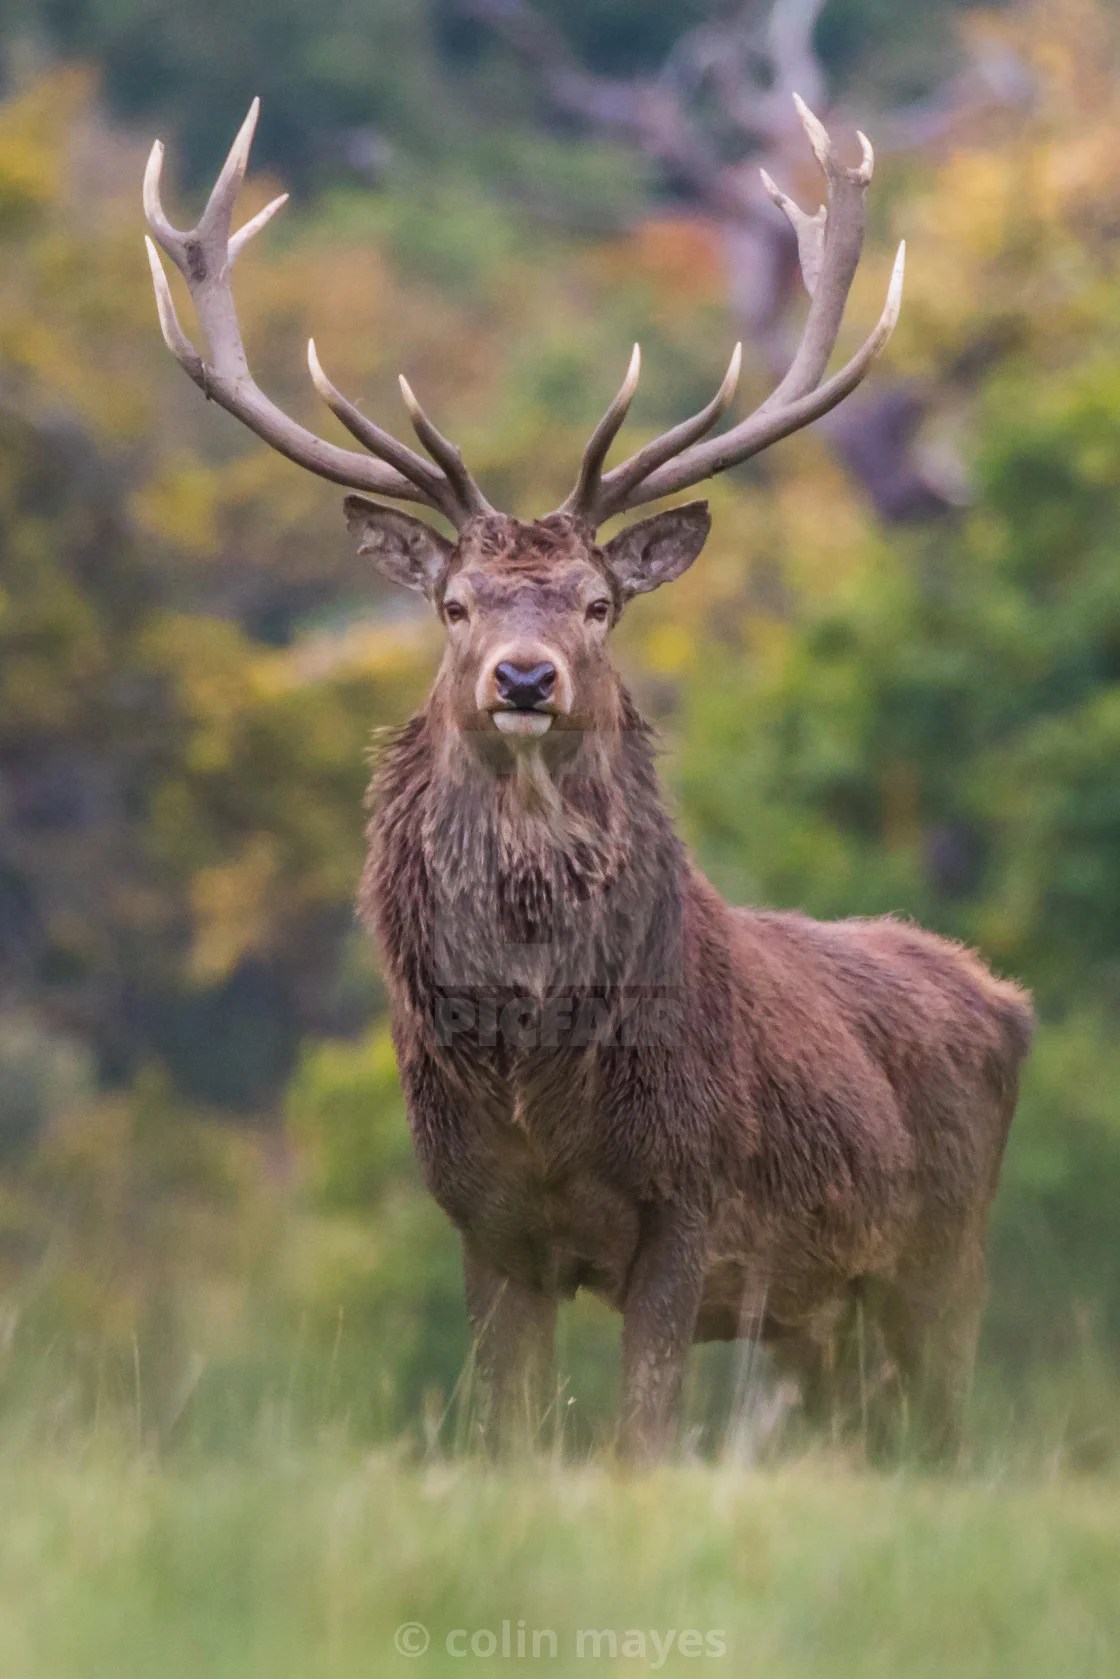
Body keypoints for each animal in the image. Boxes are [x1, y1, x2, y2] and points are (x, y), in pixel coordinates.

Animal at [144, 98, 1034, 1463]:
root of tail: (1009, 1000)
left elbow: (640, 1442)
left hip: (942, 1260)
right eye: (455, 603)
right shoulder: (485, 1220)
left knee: (946, 1438)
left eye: (600, 602)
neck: (537, 1084)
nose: (524, 676)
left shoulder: (691, 1197)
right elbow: (509, 1435)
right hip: (825, 1321)